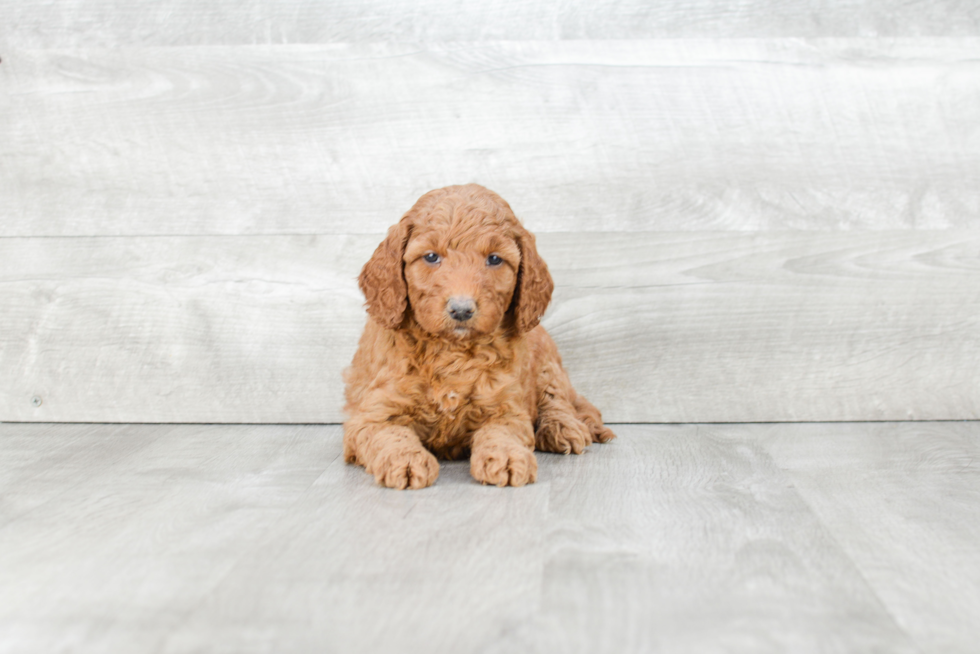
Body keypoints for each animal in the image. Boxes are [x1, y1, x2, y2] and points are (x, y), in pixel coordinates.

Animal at [342, 182, 612, 490]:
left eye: (494, 259)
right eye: (431, 256)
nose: (461, 309)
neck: (451, 351)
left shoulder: (506, 407)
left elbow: (502, 433)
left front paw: (506, 457)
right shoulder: (373, 414)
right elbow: (390, 435)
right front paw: (405, 460)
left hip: (547, 365)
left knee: (558, 400)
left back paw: (563, 428)